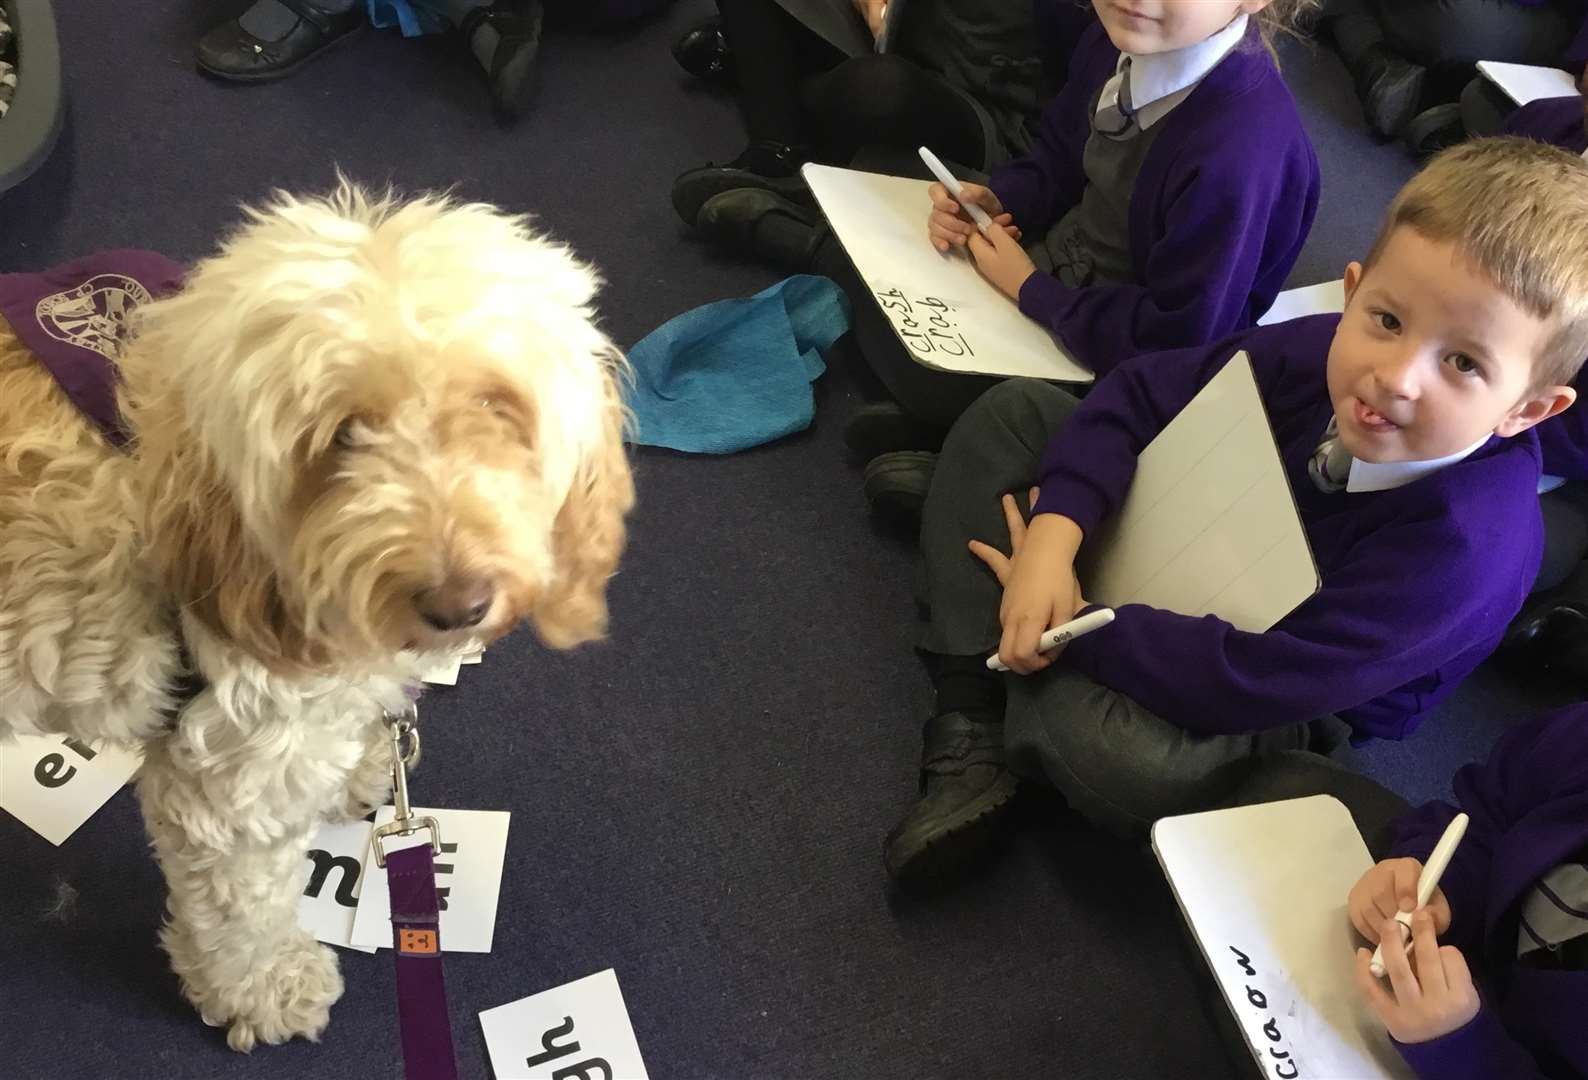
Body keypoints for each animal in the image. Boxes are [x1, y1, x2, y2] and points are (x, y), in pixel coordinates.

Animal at [0, 189, 632, 1048]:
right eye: (343, 436)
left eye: (496, 407)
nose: (457, 604)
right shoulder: (228, 773)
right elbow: (241, 912)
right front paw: (266, 989)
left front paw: (362, 765)